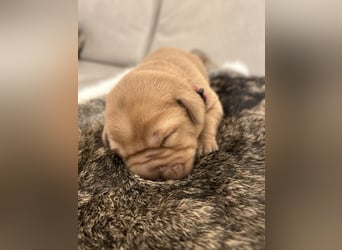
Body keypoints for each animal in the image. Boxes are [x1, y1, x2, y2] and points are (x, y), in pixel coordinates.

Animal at [103, 47, 223, 180]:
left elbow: (208, 121)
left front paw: (204, 144)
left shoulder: (213, 103)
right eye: (121, 154)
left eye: (168, 136)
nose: (155, 175)